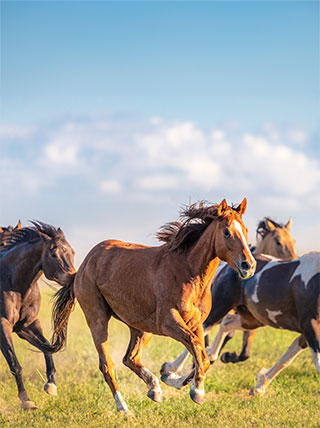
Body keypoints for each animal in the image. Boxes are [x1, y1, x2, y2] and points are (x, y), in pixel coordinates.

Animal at [0, 222, 75, 410]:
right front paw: (26, 401)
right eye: (54, 254)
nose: (73, 278)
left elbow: (46, 346)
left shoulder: (27, 325)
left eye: (72, 252)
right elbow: (14, 364)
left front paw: (51, 385)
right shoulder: (3, 326)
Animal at [39, 198, 255, 414]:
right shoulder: (168, 322)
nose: (249, 265)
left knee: (130, 358)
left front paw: (172, 378)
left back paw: (155, 389)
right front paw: (197, 391)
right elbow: (196, 349)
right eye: (226, 231)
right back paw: (124, 408)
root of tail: (84, 266)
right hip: (98, 320)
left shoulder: (196, 324)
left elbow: (203, 356)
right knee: (107, 365)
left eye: (245, 229)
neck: (187, 272)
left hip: (141, 327)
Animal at [205, 251, 320, 394]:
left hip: (252, 319)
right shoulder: (310, 326)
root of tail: (226, 266)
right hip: (219, 307)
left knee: (226, 323)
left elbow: (287, 358)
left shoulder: (306, 331)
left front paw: (259, 387)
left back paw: (211, 356)